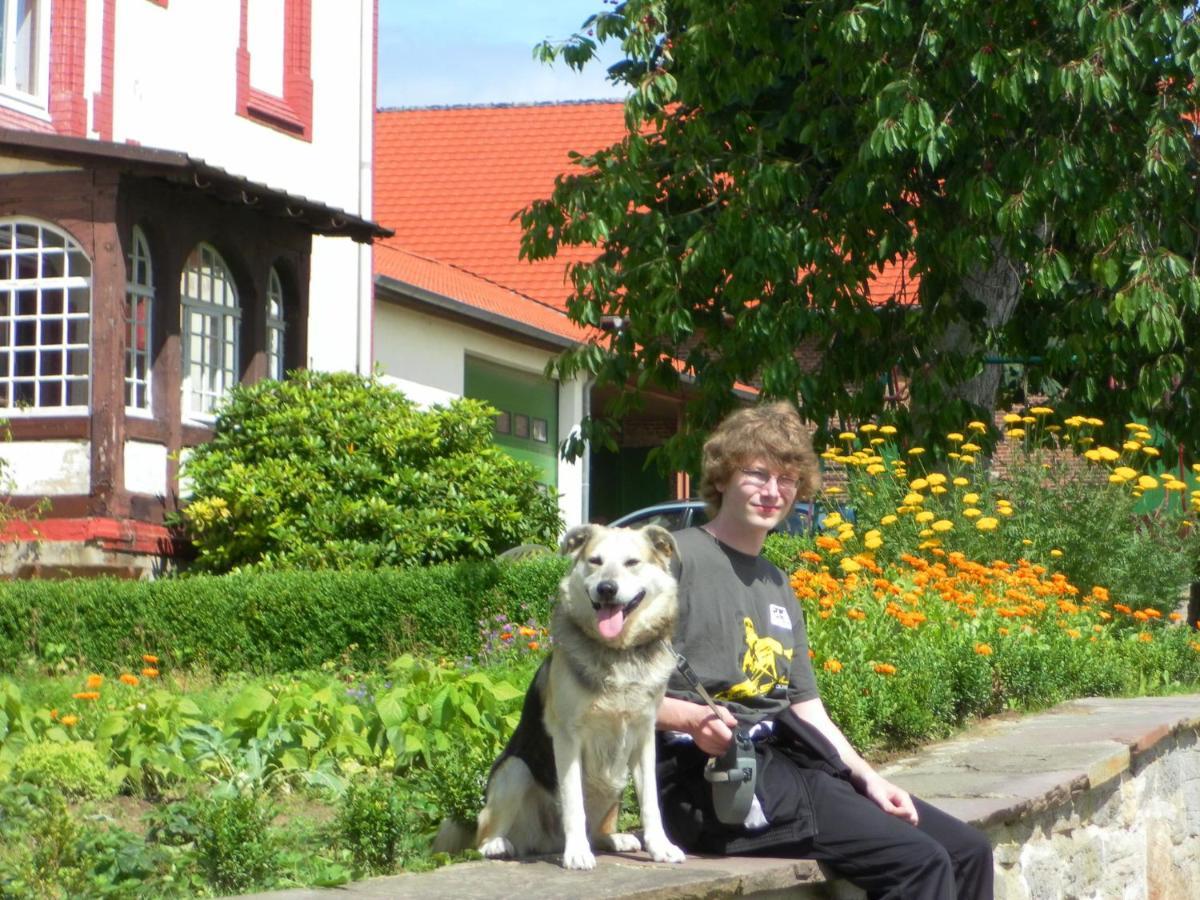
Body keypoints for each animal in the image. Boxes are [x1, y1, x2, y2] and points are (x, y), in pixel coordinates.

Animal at [436, 525, 691, 868]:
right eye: (595, 561)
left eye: (632, 562)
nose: (606, 589)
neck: (617, 652)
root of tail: (547, 841)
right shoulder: (568, 738)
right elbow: (573, 803)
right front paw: (577, 853)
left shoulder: (643, 737)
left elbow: (650, 801)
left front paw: (660, 846)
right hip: (515, 770)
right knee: (485, 832)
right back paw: (498, 844)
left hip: (615, 780)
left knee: (598, 826)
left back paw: (612, 838)